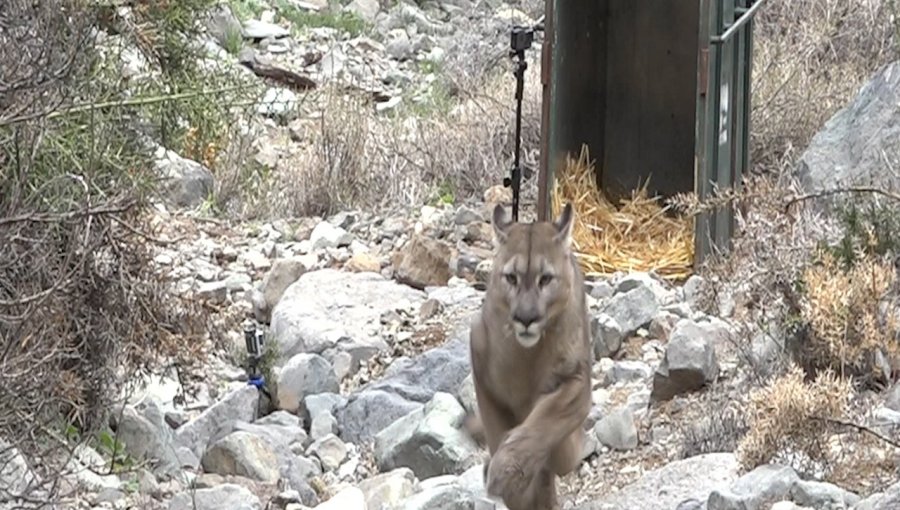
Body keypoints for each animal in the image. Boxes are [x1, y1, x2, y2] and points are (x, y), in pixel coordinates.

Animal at [472, 203, 592, 510]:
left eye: (545, 279)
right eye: (511, 278)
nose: (526, 318)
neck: (527, 356)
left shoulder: (576, 379)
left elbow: (547, 418)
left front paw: (507, 470)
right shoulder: (481, 368)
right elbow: (495, 429)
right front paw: (508, 479)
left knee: (560, 458)